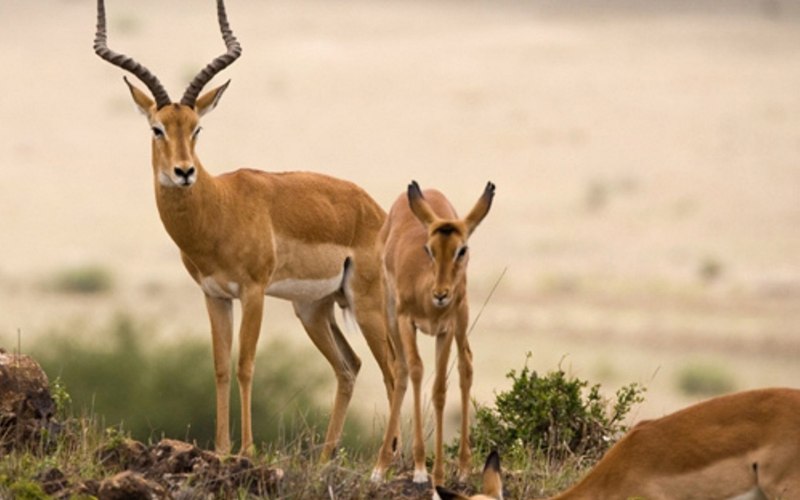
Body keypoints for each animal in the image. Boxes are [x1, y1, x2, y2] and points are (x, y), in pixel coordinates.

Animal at [92, 0, 398, 459]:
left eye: (197, 128)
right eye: (157, 128)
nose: (184, 172)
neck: (221, 207)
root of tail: (376, 211)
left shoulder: (253, 292)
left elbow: (246, 364)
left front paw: (247, 450)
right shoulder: (215, 295)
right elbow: (220, 366)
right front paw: (221, 450)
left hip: (367, 303)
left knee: (396, 371)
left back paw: (388, 461)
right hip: (314, 308)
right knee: (350, 366)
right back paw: (326, 458)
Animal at [371, 180, 495, 487]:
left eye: (462, 249)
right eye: (429, 249)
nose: (441, 294)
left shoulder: (445, 328)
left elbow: (439, 389)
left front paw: (437, 473)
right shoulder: (406, 321)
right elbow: (415, 371)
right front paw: (418, 468)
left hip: (462, 317)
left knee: (466, 365)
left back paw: (463, 467)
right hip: (390, 315)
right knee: (401, 370)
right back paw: (381, 466)